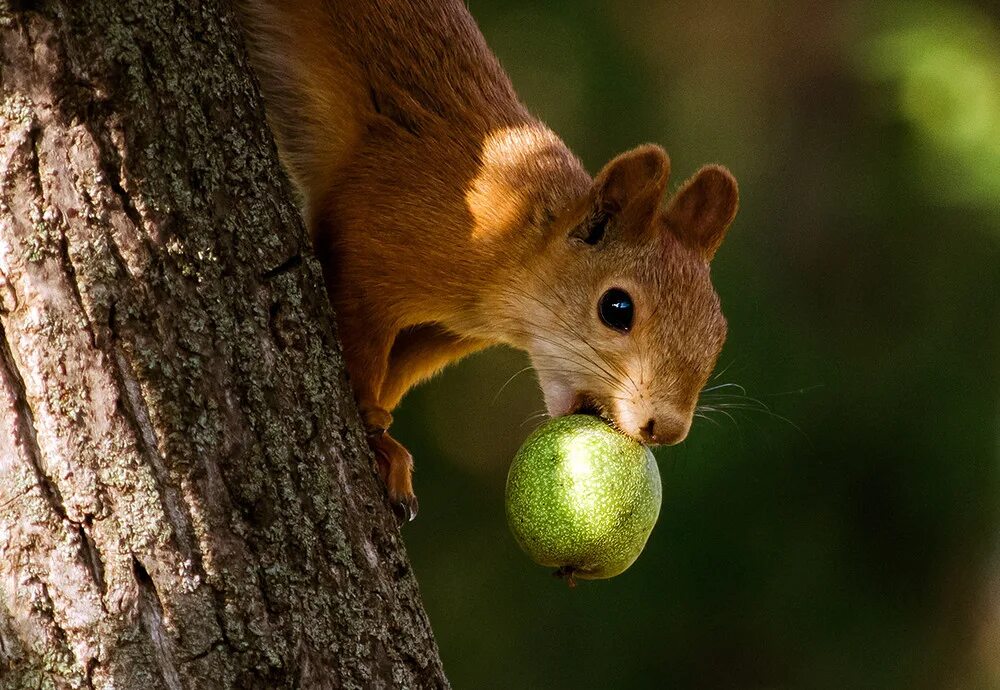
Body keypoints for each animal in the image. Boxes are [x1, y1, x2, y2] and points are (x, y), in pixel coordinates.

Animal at [240, 0, 744, 516]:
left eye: (719, 332)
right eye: (616, 308)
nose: (667, 429)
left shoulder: (446, 331)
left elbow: (399, 370)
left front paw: (387, 440)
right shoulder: (370, 236)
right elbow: (359, 337)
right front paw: (373, 428)